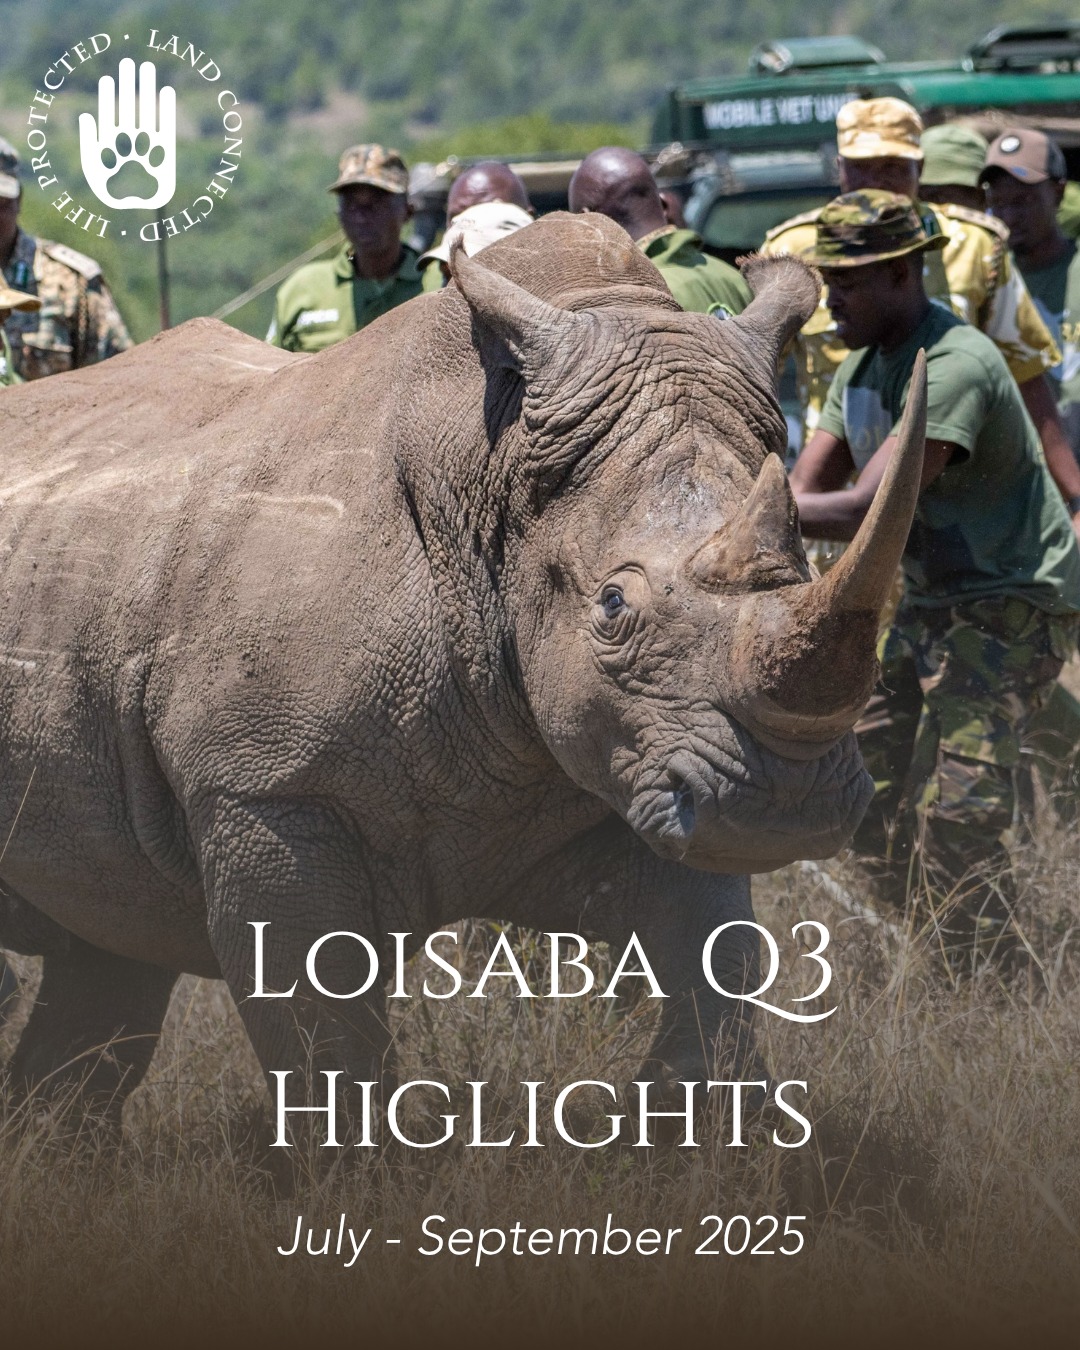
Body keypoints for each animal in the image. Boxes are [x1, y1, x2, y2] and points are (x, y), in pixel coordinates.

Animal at [0, 212, 924, 1135]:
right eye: (612, 605)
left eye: (803, 572)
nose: (788, 806)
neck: (489, 484)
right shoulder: (262, 786)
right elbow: (326, 1046)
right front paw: (360, 1166)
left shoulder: (629, 760)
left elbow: (716, 958)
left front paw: (685, 1120)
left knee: (106, 950)